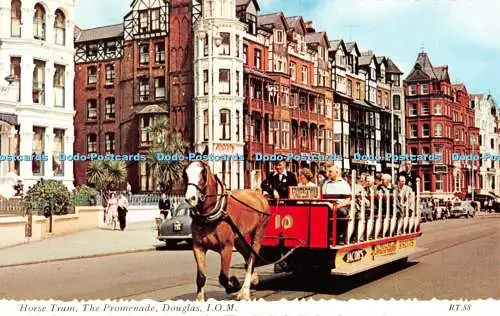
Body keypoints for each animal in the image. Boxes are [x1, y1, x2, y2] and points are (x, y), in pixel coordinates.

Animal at [183, 160, 270, 302]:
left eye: (202, 173)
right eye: (185, 173)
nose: (190, 198)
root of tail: (259, 195)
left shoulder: (226, 247)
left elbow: (223, 277)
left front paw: (234, 285)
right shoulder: (198, 246)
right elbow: (201, 278)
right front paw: (199, 300)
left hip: (259, 232)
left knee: (251, 259)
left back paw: (244, 291)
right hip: (239, 238)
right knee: (247, 257)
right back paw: (253, 279)